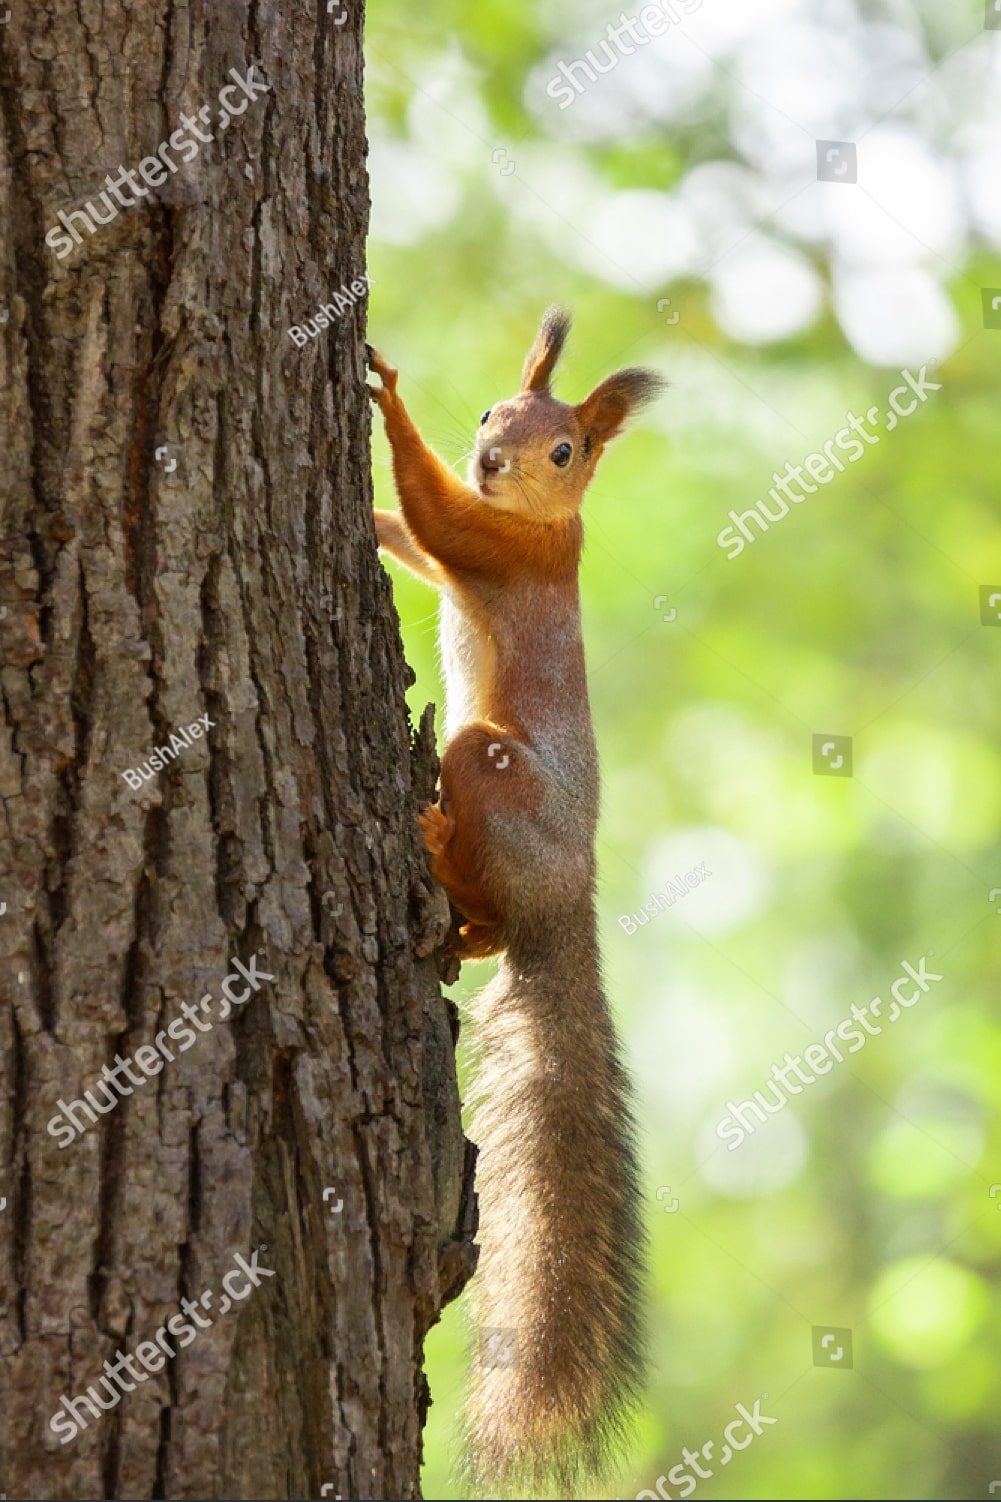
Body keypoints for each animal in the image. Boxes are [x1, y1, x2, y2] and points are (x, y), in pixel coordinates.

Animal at [367, 309, 664, 1495]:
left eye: (566, 450)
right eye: (496, 408)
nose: (492, 458)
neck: (546, 521)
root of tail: (564, 904)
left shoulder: (502, 549)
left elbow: (437, 515)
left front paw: (383, 390)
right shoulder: (473, 544)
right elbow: (413, 533)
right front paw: (366, 515)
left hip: (484, 764)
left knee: (485, 897)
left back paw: (435, 849)